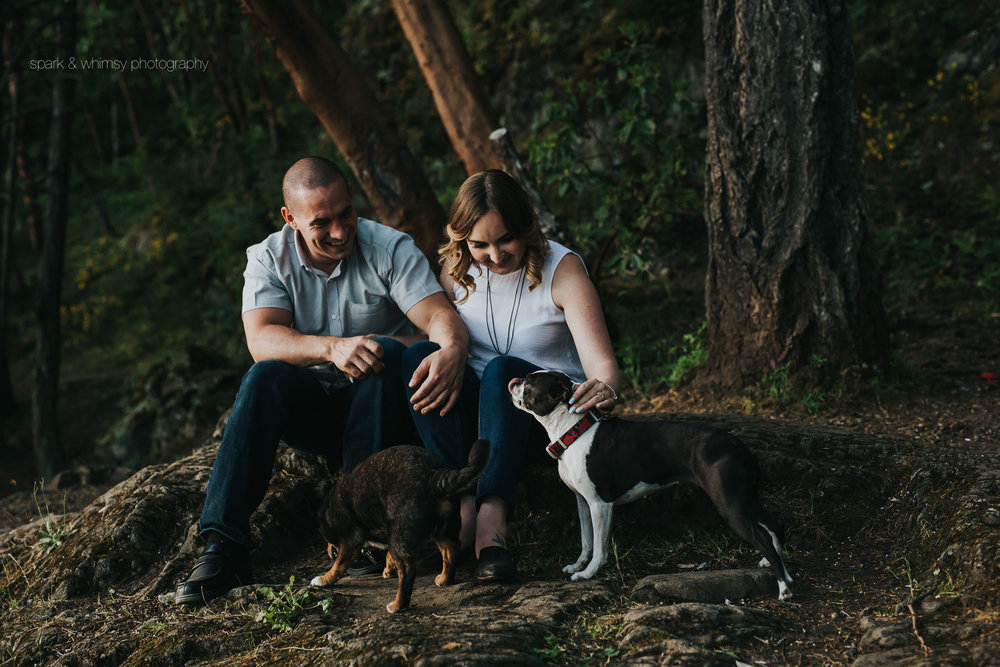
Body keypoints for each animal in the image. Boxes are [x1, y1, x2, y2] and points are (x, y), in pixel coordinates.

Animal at [308, 440, 488, 612]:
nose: (329, 550)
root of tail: (435, 476)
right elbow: (388, 555)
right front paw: (389, 568)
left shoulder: (351, 539)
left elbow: (338, 565)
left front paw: (324, 579)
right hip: (443, 531)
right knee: (450, 552)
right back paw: (444, 580)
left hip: (402, 534)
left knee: (407, 570)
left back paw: (398, 605)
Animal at [512, 370, 792, 600]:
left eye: (529, 384)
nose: (514, 381)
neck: (573, 430)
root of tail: (735, 442)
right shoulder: (583, 502)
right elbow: (586, 540)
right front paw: (578, 565)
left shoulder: (600, 504)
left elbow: (600, 548)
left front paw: (588, 574)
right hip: (743, 497)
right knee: (775, 523)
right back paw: (777, 568)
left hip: (729, 503)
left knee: (762, 537)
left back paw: (784, 587)